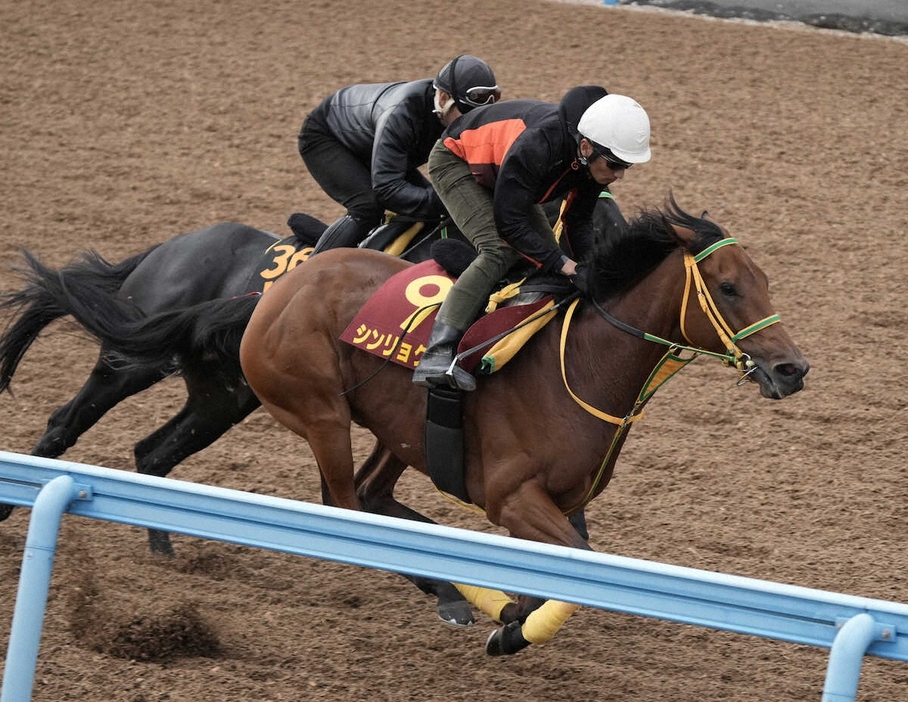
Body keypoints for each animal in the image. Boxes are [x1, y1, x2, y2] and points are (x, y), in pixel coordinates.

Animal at [239, 197, 808, 656]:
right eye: (729, 287)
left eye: (764, 282)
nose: (792, 369)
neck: (582, 366)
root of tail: (289, 280)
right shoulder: (512, 497)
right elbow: (580, 562)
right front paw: (512, 625)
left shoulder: (562, 501)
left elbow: (547, 574)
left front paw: (512, 618)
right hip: (322, 414)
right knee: (347, 506)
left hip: (400, 430)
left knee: (370, 494)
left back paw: (451, 592)